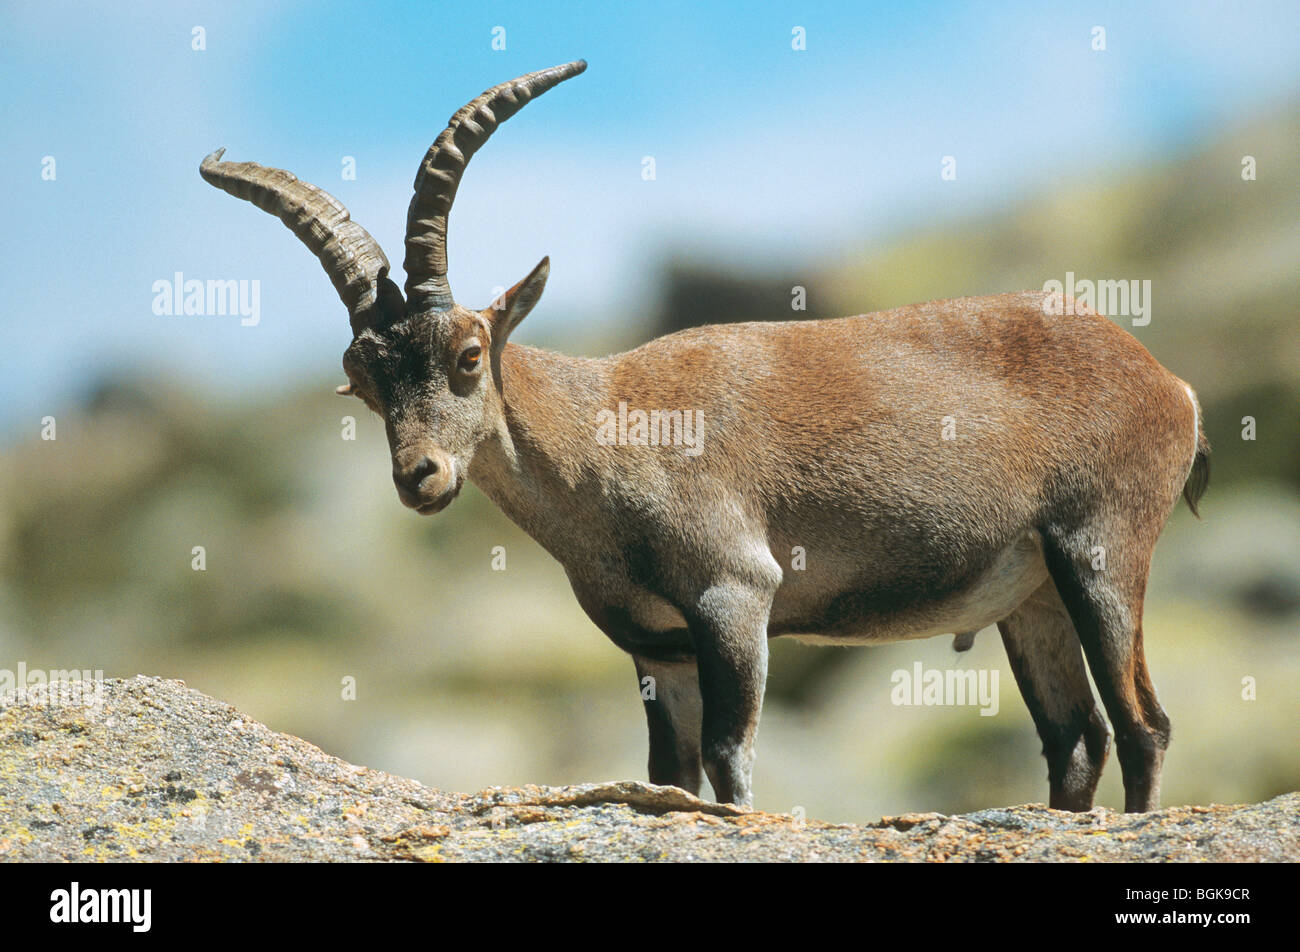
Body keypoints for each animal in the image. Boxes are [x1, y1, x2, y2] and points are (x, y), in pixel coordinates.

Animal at [201, 60, 1210, 812]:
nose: (421, 476)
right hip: (1030, 595)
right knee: (1075, 739)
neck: (605, 443)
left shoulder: (735, 597)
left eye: (468, 353)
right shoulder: (660, 651)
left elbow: (730, 761)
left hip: (1100, 549)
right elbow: (672, 777)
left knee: (1142, 723)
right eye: (365, 381)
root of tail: (1172, 384)